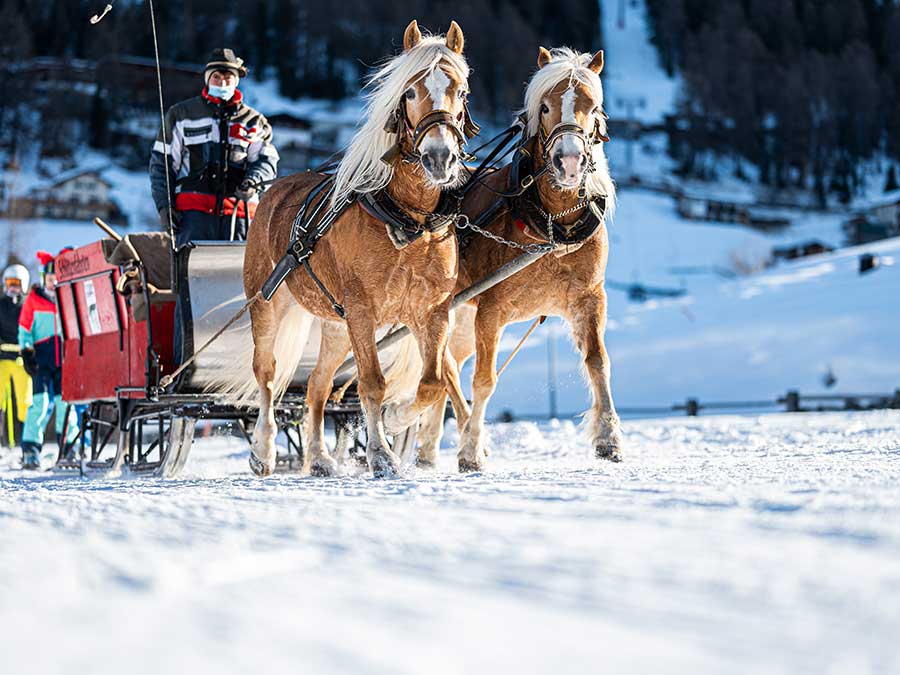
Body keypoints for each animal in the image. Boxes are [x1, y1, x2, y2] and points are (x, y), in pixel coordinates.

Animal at [233, 20, 475, 478]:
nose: (439, 157)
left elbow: (433, 382)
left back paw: (319, 457)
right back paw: (263, 451)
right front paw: (382, 453)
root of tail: (273, 189)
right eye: (409, 92)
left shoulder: (430, 312)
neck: (408, 219)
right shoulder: (362, 311)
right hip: (268, 305)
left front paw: (396, 421)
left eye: (461, 91)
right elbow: (373, 383)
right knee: (267, 374)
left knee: (316, 385)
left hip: (334, 326)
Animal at [416, 46, 622, 471]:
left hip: (460, 319)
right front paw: (471, 450)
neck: (553, 225)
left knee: (446, 364)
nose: (569, 162)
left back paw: (427, 446)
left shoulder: (590, 298)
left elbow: (598, 361)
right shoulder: (491, 309)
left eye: (593, 106)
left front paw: (609, 439)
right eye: (544, 107)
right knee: (447, 369)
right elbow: (484, 380)